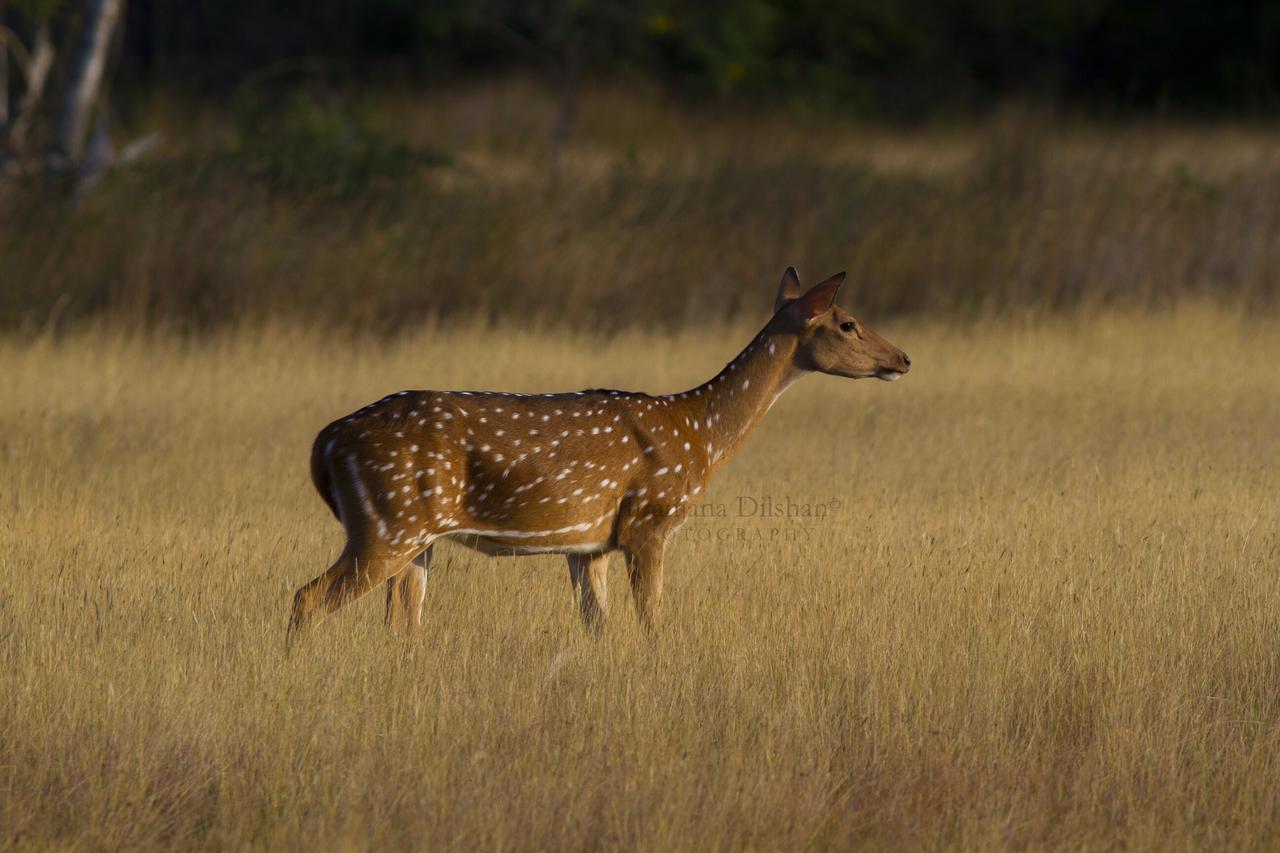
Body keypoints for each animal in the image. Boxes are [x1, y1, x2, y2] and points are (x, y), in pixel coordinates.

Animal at [290, 268, 911, 640]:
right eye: (848, 322)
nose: (903, 358)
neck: (701, 432)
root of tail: (326, 442)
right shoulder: (649, 521)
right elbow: (652, 623)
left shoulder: (588, 545)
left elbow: (598, 628)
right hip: (388, 523)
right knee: (307, 598)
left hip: (417, 537)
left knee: (400, 623)